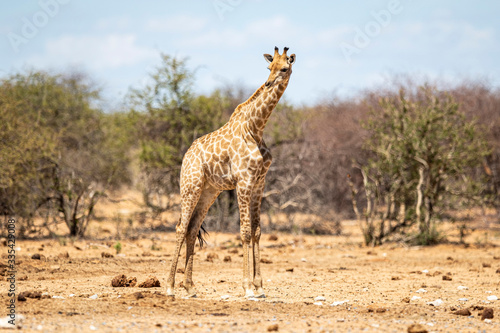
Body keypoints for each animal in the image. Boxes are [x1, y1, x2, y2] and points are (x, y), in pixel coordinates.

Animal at [166, 45, 294, 296]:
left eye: (284, 68)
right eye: (269, 67)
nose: (268, 83)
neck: (256, 128)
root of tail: (186, 155)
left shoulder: (259, 183)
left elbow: (256, 231)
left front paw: (259, 286)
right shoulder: (243, 181)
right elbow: (244, 232)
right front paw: (247, 288)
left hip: (209, 191)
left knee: (192, 229)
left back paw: (190, 286)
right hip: (190, 186)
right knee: (180, 227)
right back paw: (170, 286)